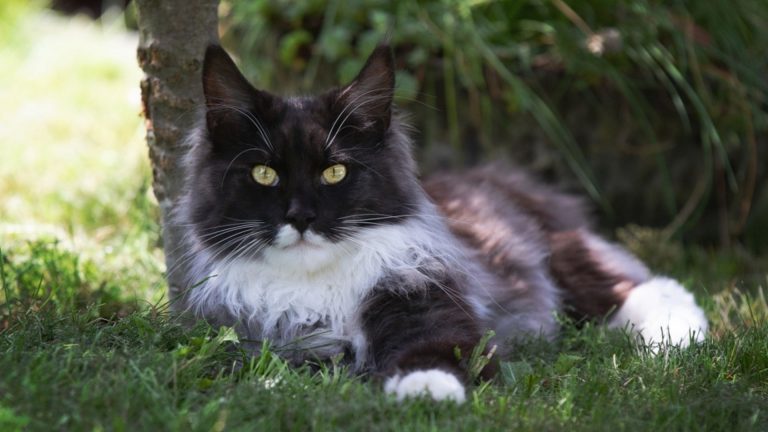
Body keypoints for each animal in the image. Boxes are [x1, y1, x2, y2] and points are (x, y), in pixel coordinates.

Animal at [172, 43, 708, 402]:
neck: (316, 289)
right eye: (264, 173)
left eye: (334, 172)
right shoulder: (262, 340)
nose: (301, 217)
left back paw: (677, 341)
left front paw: (426, 392)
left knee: (647, 288)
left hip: (560, 256)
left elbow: (431, 354)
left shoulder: (428, 302)